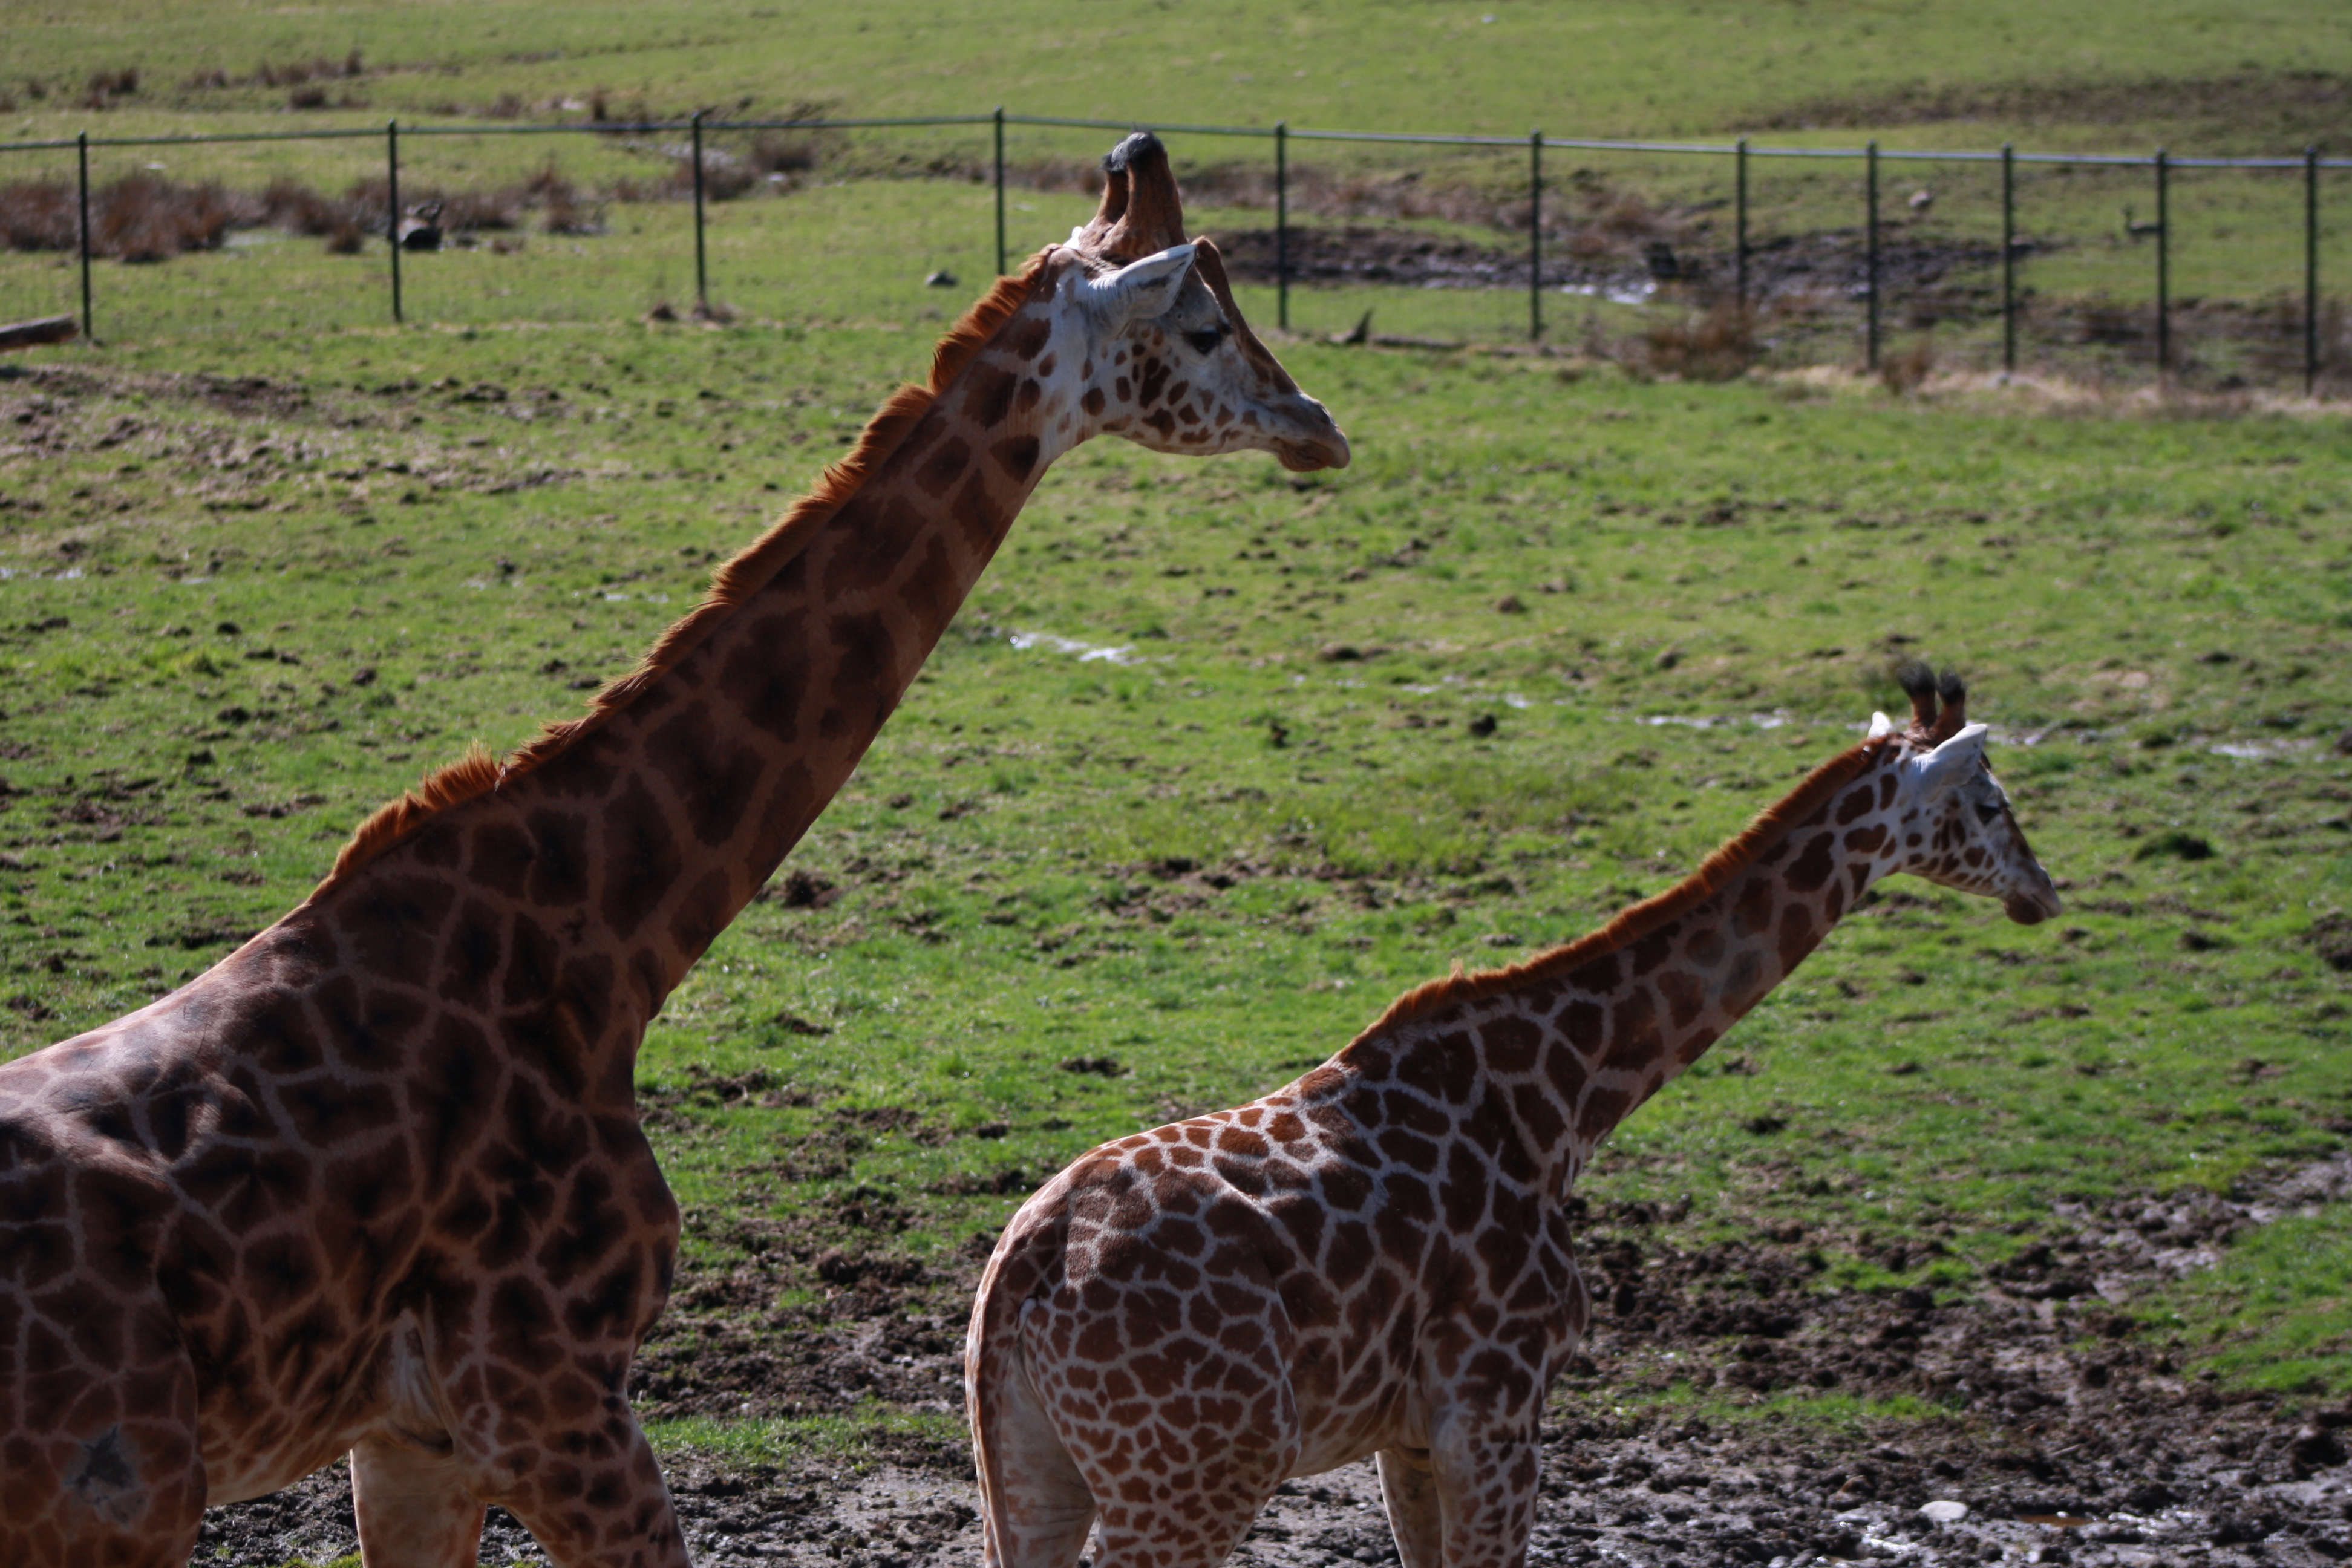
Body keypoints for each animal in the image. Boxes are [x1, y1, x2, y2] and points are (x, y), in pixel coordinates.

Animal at [0, 135, 1354, 1568]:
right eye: (1203, 326)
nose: (1318, 424)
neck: (604, 945)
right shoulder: (552, 1395)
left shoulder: (410, 1436)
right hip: (118, 1507)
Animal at [964, 672, 2051, 1568]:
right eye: (1991, 802)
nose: (2043, 891)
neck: (1563, 1096)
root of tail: (1023, 1273)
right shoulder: (1496, 1408)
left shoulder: (1408, 1432)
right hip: (1195, 1480)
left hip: (1029, 1473)